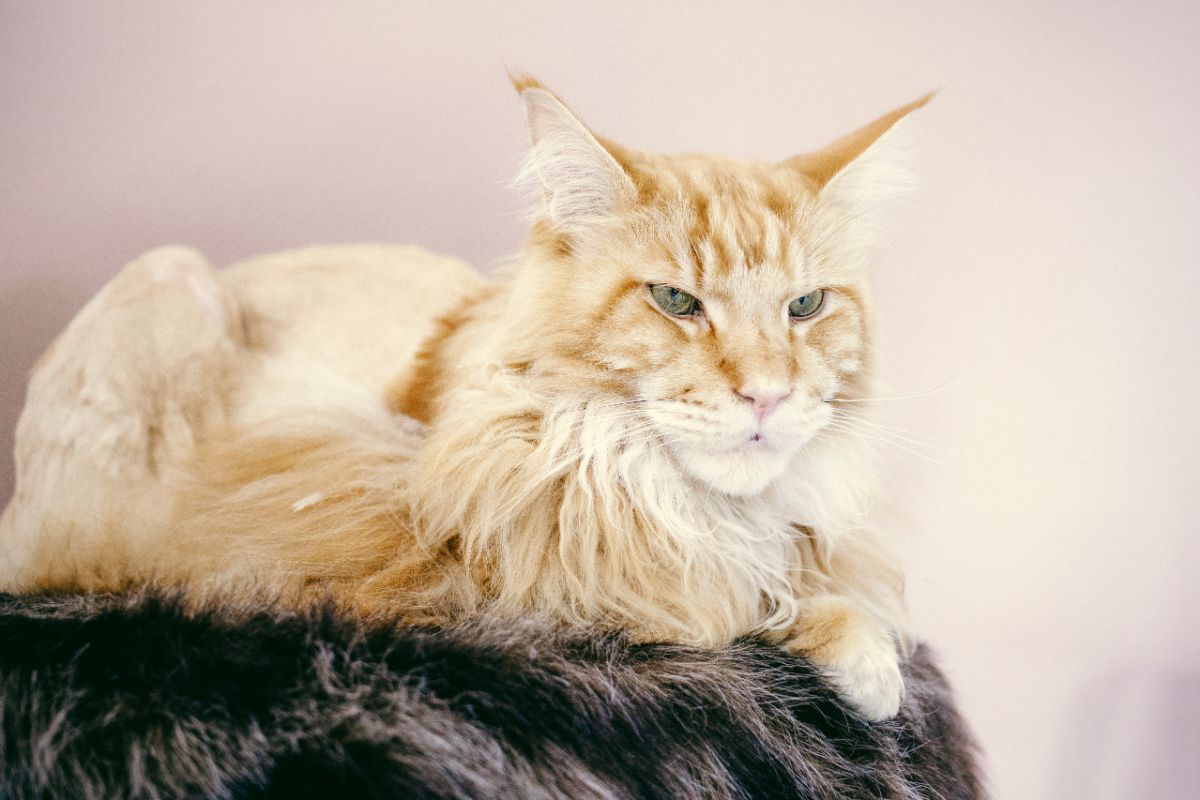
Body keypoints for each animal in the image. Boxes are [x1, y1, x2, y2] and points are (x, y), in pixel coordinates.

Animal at [0, 77, 926, 724]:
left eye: (806, 307)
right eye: (675, 301)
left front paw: (869, 660)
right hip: (169, 289)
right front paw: (861, 663)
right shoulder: (505, 581)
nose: (767, 395)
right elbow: (723, 604)